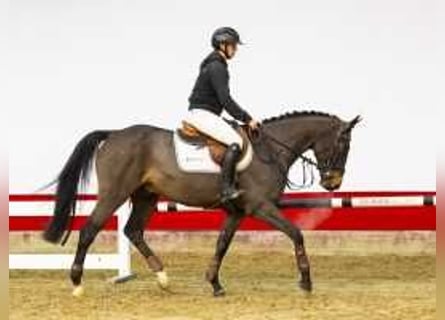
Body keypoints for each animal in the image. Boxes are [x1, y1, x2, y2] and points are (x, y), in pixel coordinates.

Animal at [41, 110, 360, 298]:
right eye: (343, 145)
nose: (333, 183)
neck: (271, 150)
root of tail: (114, 134)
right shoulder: (261, 207)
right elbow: (296, 233)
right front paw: (306, 282)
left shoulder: (237, 212)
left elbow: (222, 244)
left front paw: (214, 283)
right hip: (114, 193)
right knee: (89, 231)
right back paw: (77, 284)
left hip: (146, 196)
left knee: (133, 231)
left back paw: (163, 278)